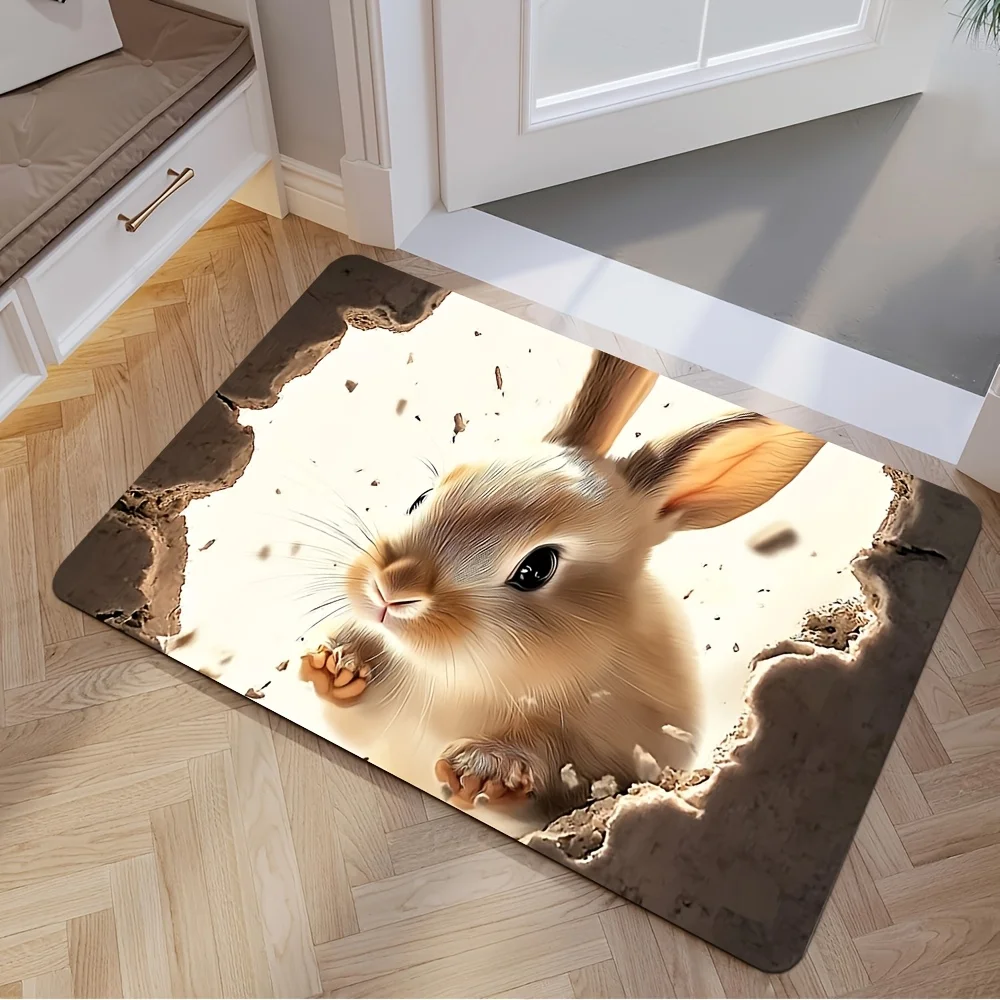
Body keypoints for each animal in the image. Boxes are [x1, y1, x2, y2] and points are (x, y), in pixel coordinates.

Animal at [302, 350, 824, 817]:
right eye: (421, 497)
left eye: (537, 568)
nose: (390, 591)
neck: (459, 674)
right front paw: (336, 665)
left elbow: (558, 765)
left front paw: (479, 769)